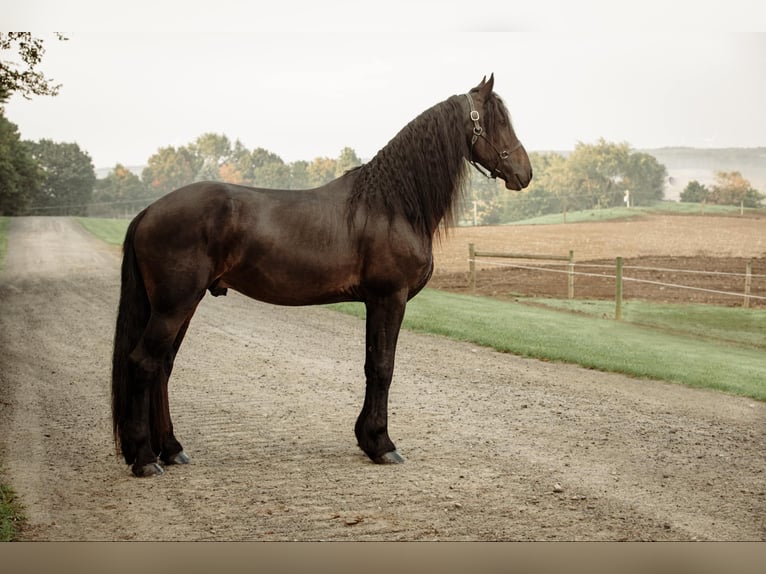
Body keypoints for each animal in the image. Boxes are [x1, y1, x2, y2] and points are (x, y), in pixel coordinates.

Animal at [112, 74, 532, 477]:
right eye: (497, 121)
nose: (525, 173)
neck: (390, 204)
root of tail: (148, 212)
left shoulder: (374, 302)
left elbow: (371, 365)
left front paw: (367, 439)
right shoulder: (390, 298)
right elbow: (384, 367)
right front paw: (383, 445)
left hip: (180, 305)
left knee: (163, 367)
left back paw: (172, 449)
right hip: (174, 306)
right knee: (144, 363)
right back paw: (145, 458)